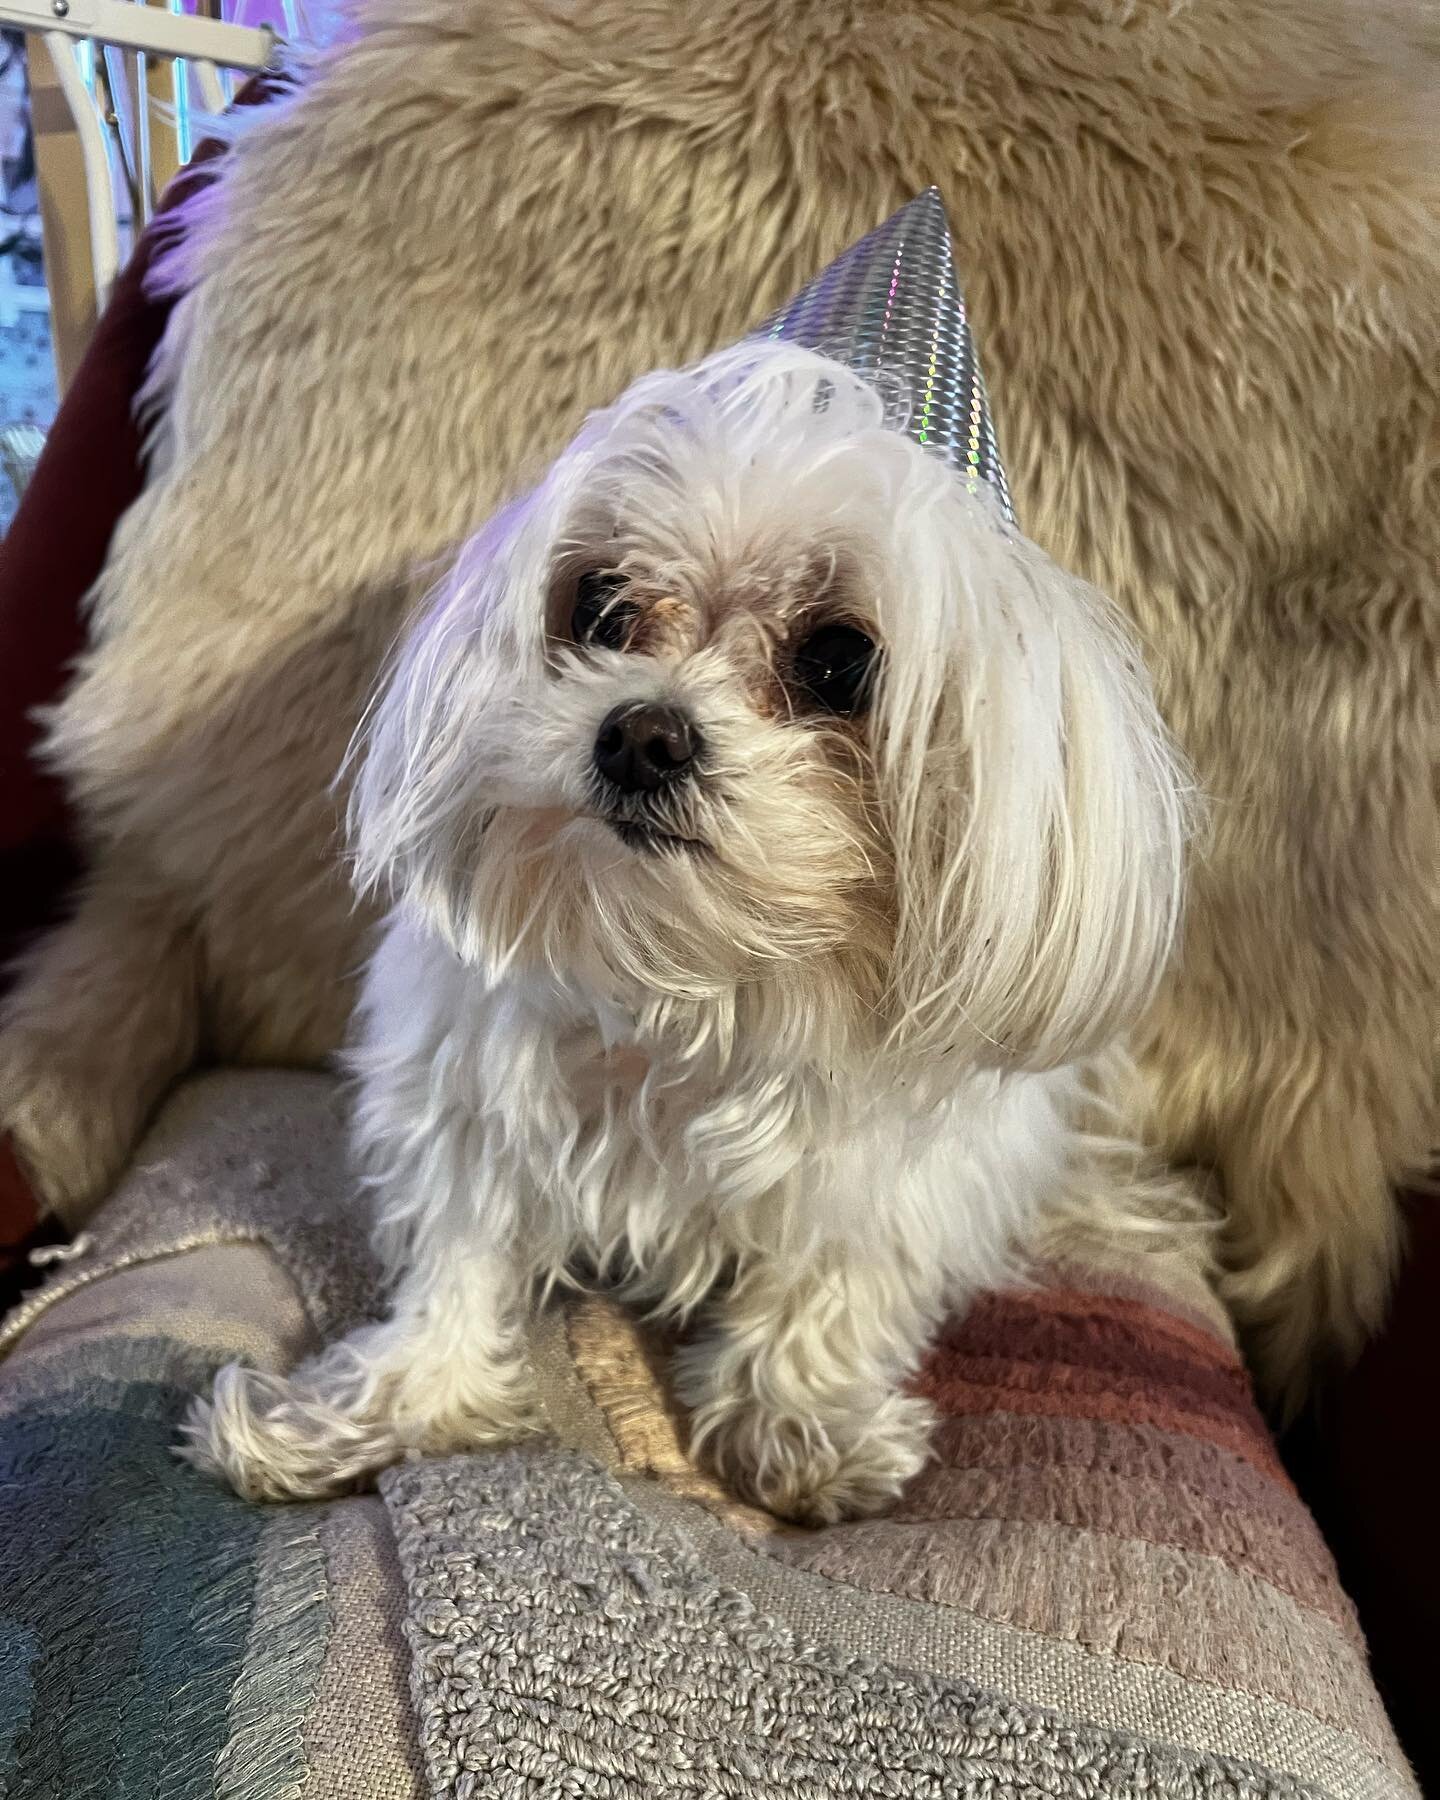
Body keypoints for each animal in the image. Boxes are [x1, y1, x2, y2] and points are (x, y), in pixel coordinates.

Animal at [182, 340, 1195, 1519]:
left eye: (839, 660)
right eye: (602, 606)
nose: (644, 735)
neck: (687, 973)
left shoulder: (887, 1177)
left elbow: (828, 1289)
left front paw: (798, 1425)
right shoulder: (468, 1103)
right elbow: (457, 1266)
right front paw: (369, 1410)